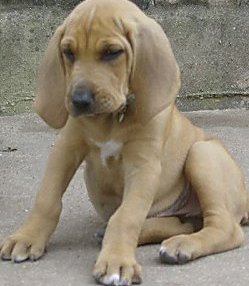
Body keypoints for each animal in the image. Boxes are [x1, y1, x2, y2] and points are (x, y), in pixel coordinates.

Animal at [0, 0, 248, 284]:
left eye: (112, 52)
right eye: (68, 52)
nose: (80, 100)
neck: (112, 119)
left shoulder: (143, 166)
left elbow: (126, 216)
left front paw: (117, 261)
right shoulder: (66, 149)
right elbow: (46, 198)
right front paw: (27, 237)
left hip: (201, 152)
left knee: (225, 228)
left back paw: (181, 245)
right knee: (183, 222)